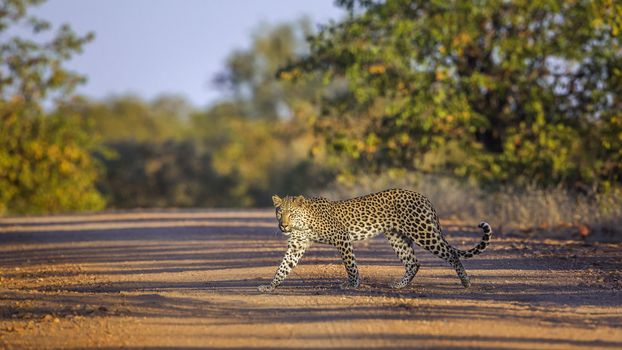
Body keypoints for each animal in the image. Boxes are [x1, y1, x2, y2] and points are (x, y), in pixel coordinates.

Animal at [258, 189, 492, 292]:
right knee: (414, 262)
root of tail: (423, 196)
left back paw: (466, 282)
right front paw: (270, 286)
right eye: (279, 213)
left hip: (423, 232)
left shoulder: (342, 238)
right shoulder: (297, 245)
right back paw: (399, 285)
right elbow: (284, 266)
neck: (303, 223)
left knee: (451, 253)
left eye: (291, 213)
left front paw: (352, 285)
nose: (283, 226)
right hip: (397, 237)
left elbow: (351, 265)